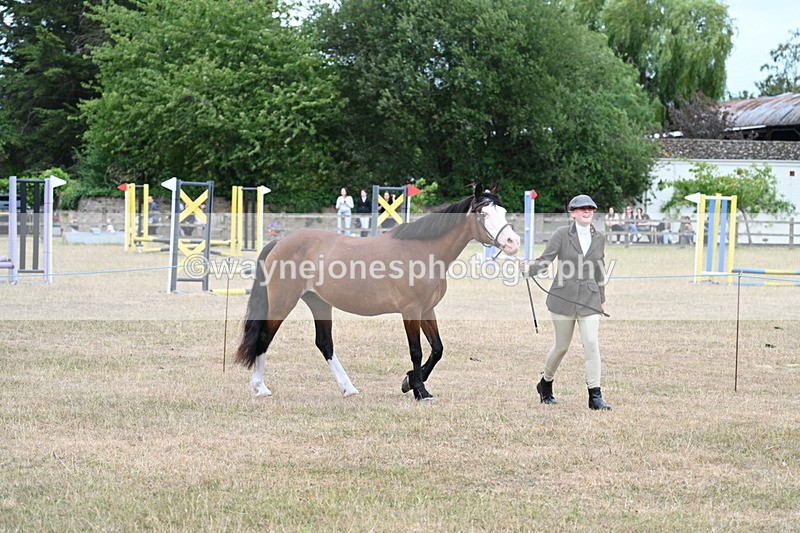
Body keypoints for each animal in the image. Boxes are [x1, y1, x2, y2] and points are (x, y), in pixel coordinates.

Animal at [235, 185, 521, 400]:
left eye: (503, 211)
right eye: (483, 214)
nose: (512, 242)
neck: (423, 250)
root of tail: (279, 242)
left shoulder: (427, 309)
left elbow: (437, 349)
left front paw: (409, 382)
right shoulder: (411, 311)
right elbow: (416, 351)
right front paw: (420, 390)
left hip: (319, 302)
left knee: (325, 344)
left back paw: (348, 388)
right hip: (283, 303)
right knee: (264, 338)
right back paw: (260, 388)